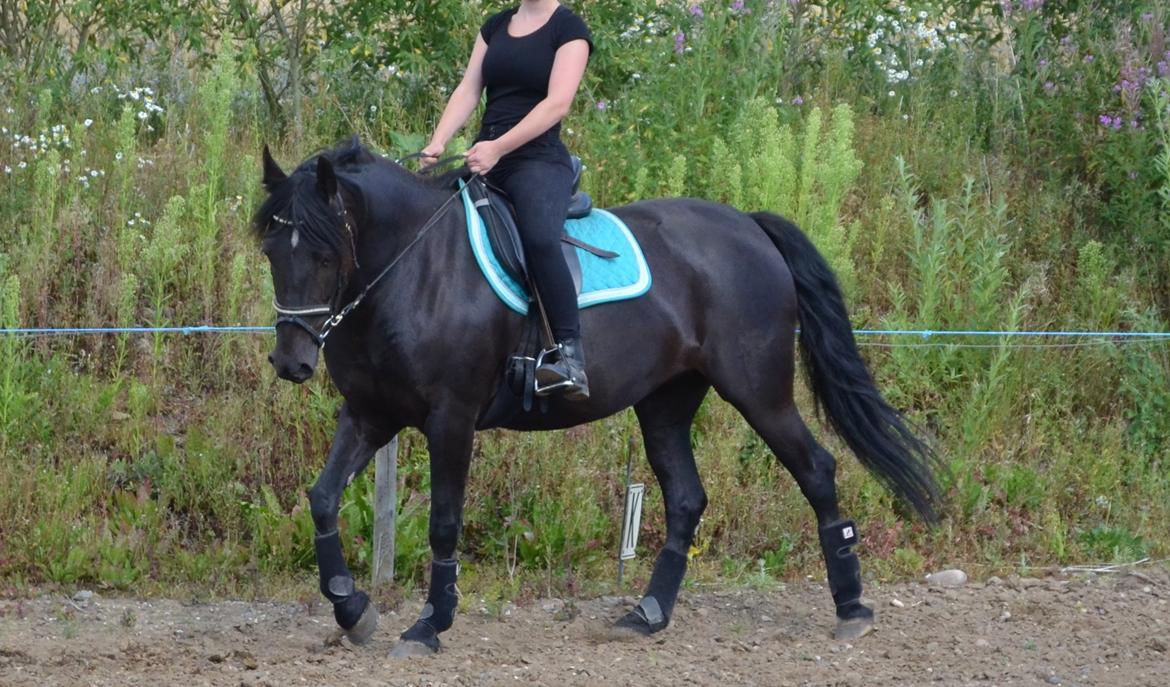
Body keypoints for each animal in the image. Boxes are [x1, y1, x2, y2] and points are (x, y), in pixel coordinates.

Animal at [253, 138, 940, 655]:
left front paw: (429, 625)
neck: (412, 269)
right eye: (270, 251)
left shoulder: (452, 418)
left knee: (816, 469)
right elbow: (322, 499)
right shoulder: (372, 414)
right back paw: (649, 613)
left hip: (758, 392)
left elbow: (444, 522)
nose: (292, 362)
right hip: (665, 401)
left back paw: (852, 608)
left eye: (324, 251)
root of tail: (749, 225)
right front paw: (353, 609)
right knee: (686, 497)